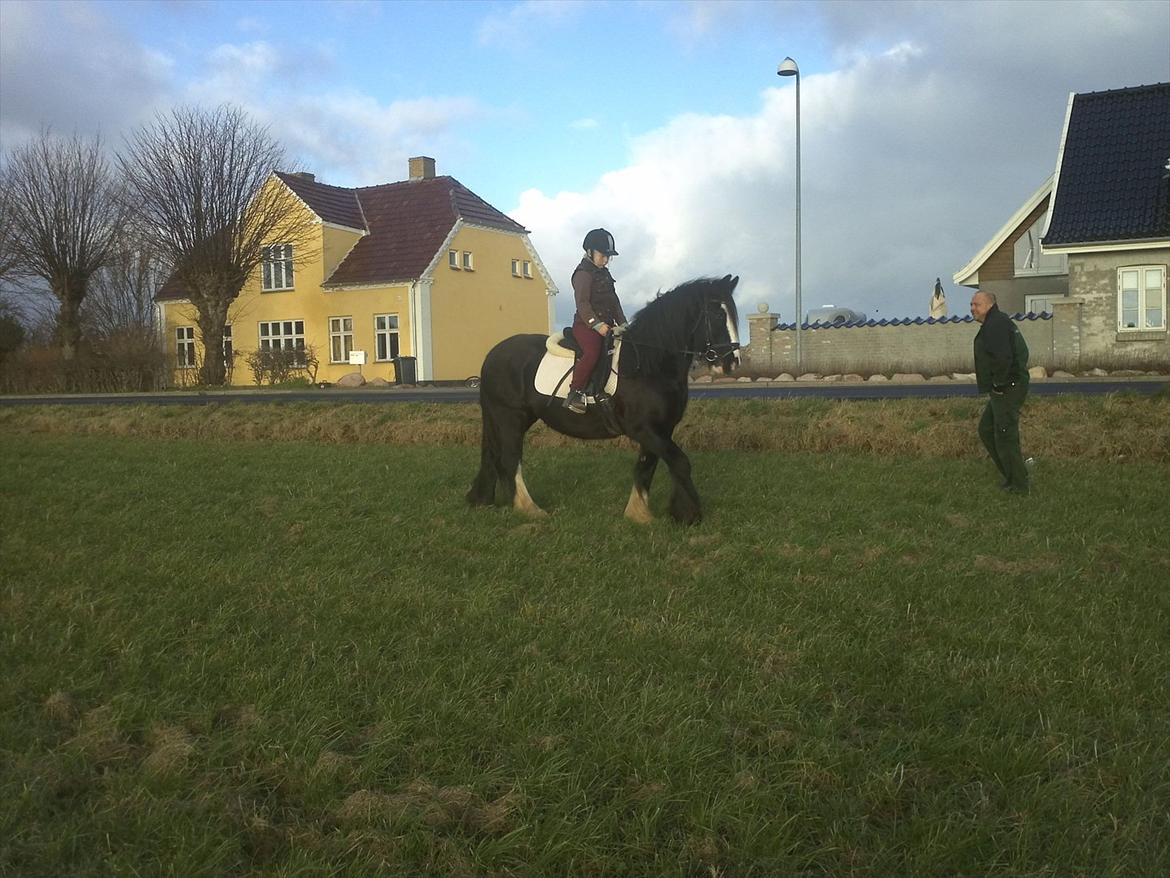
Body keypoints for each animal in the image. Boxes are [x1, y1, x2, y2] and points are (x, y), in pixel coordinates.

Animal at [465, 273, 739, 522]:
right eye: (718, 315)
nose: (732, 363)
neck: (646, 364)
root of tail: (493, 354)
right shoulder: (645, 429)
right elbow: (680, 463)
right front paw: (688, 513)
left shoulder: (660, 430)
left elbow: (646, 467)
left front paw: (639, 514)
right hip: (509, 416)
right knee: (509, 458)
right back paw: (529, 508)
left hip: (511, 418)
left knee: (494, 456)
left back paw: (484, 499)